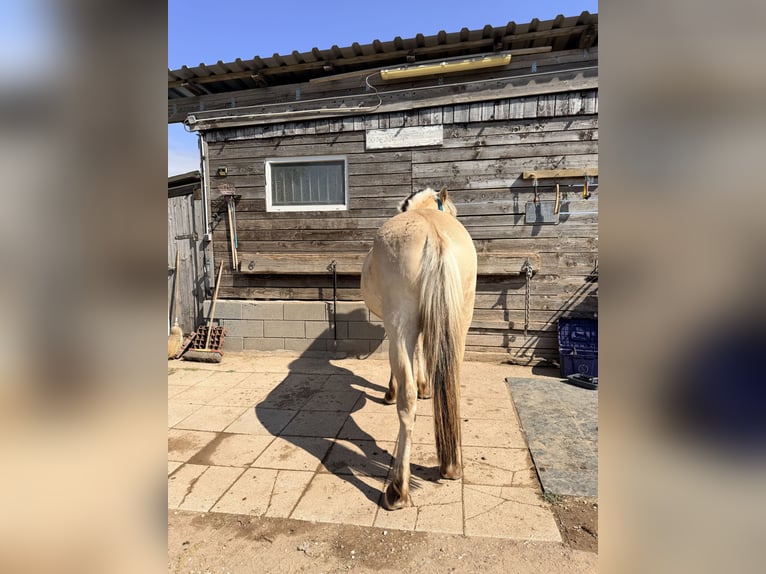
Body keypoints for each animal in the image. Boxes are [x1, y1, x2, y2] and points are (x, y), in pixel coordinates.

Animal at [361, 186, 477, 510]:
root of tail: (434, 233)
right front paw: (427, 387)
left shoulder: (394, 327)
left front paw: (391, 391)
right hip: (460, 320)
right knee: (451, 381)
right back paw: (451, 466)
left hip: (401, 322)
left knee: (407, 401)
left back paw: (397, 489)